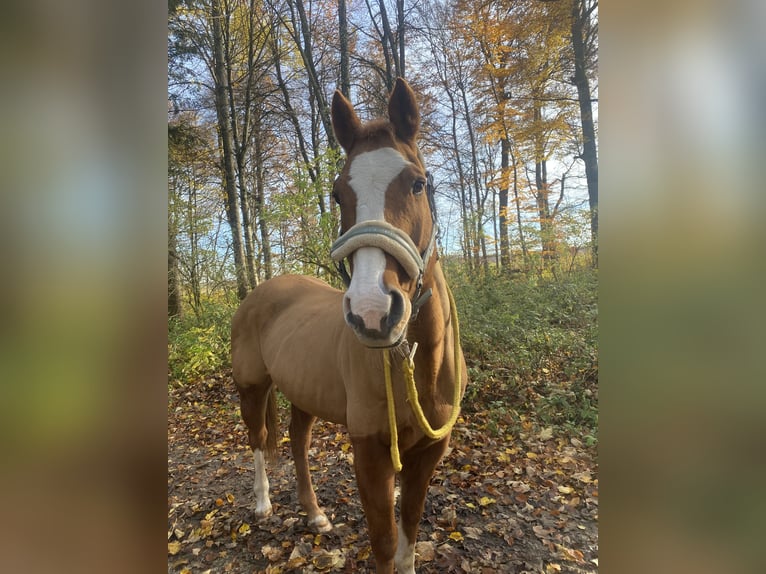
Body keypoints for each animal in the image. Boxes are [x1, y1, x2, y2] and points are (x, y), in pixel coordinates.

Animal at [231, 78, 468, 573]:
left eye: (418, 184)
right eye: (339, 193)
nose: (372, 311)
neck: (413, 364)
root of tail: (261, 292)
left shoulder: (428, 451)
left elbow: (410, 525)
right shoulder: (369, 451)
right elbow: (383, 541)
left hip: (303, 391)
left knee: (298, 442)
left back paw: (315, 514)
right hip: (252, 387)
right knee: (258, 438)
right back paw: (262, 504)